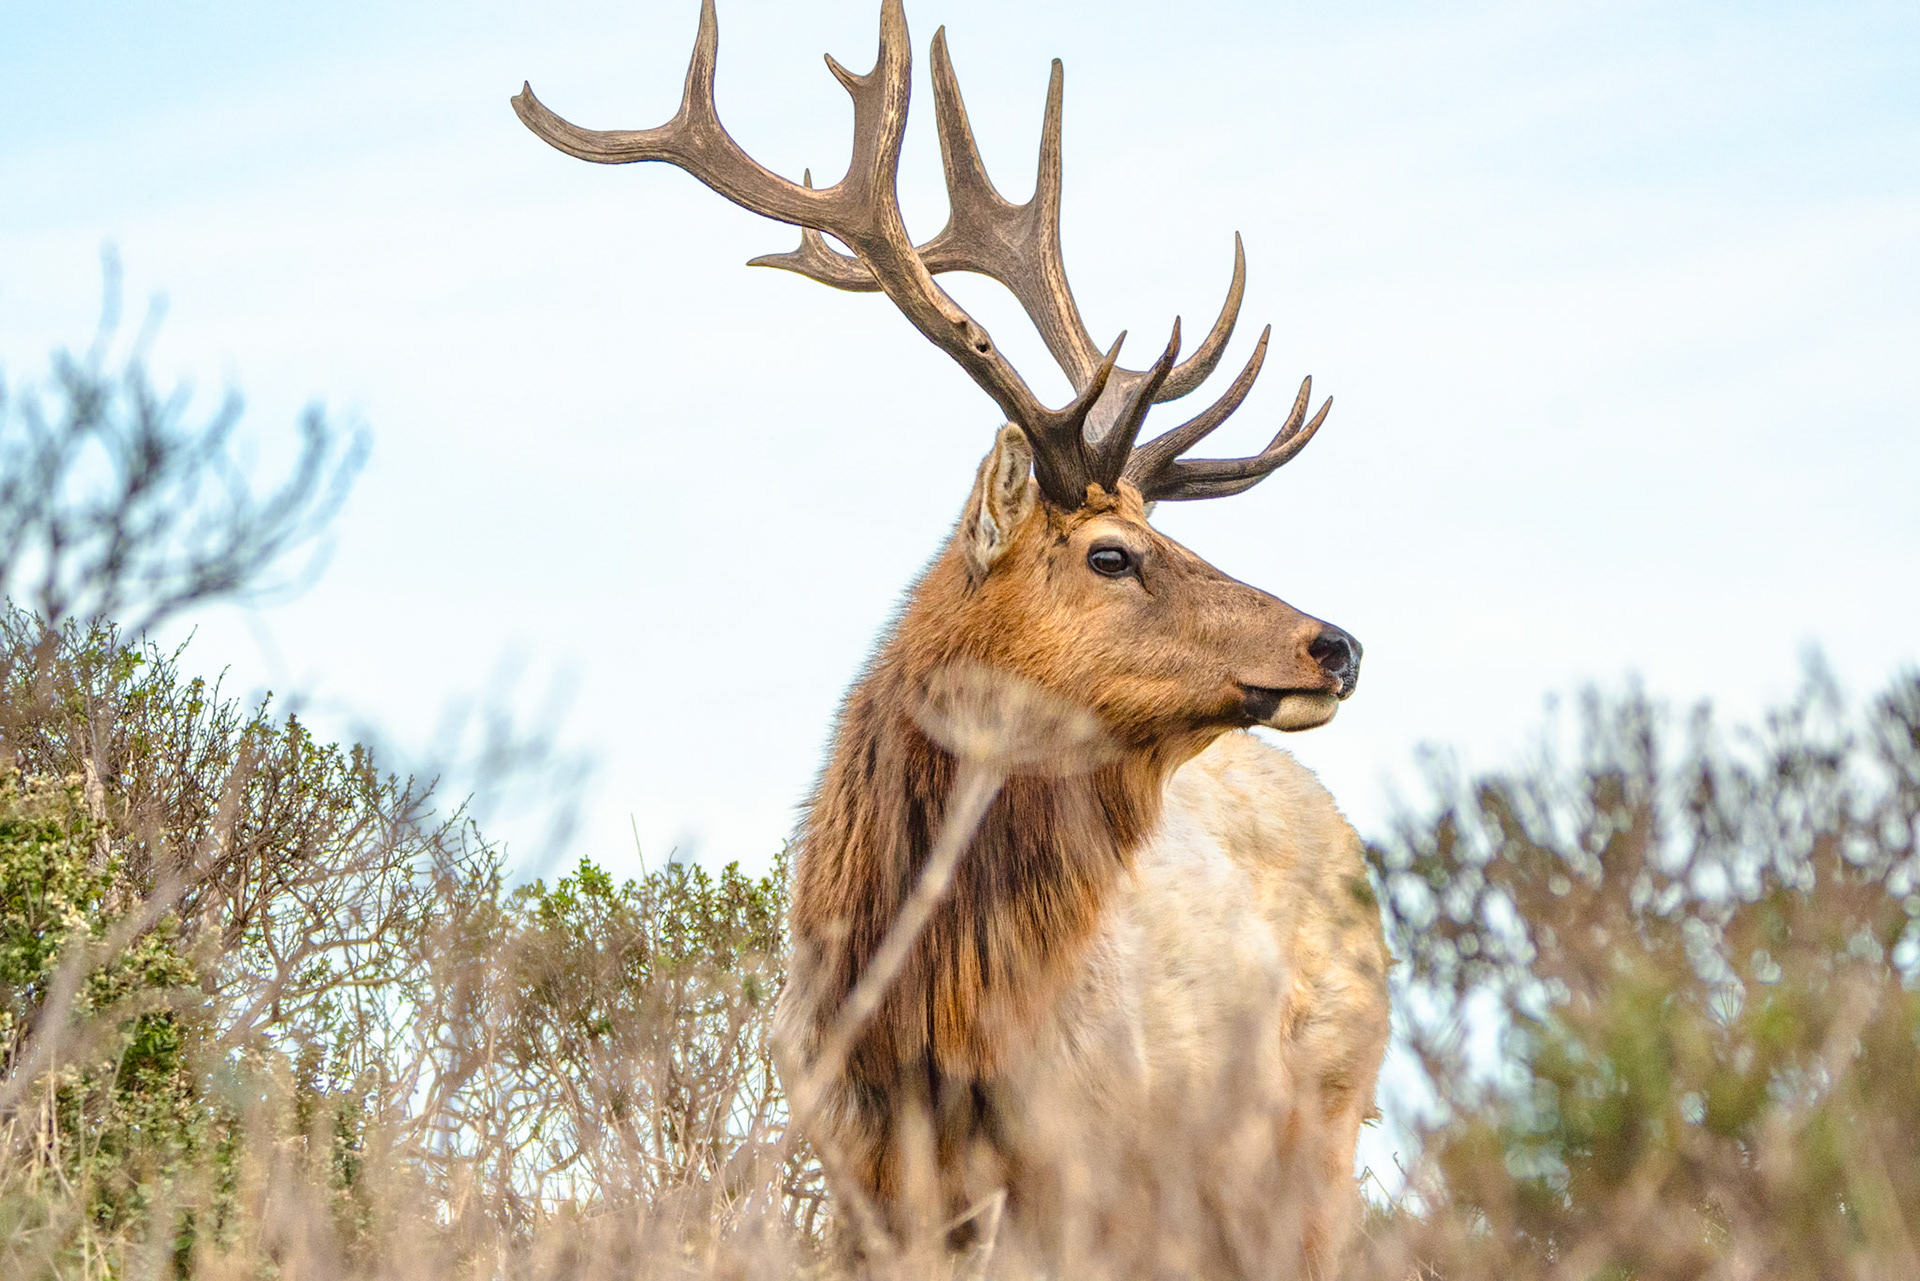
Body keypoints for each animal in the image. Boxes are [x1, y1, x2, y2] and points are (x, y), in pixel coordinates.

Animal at [514, 2, 1390, 1275]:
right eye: (1112, 553)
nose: (1336, 645)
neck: (923, 1025)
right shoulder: (865, 1188)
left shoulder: (1095, 1183)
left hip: (1319, 1135)